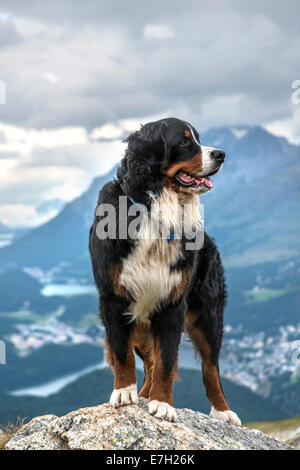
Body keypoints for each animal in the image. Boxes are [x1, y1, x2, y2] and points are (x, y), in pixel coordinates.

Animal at [88, 116, 241, 426]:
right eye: (183, 141)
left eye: (198, 138)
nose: (221, 154)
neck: (154, 210)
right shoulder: (113, 299)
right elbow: (121, 353)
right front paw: (124, 392)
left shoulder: (173, 303)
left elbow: (167, 360)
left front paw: (162, 404)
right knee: (148, 361)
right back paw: (141, 394)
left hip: (208, 315)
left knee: (210, 367)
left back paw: (222, 411)